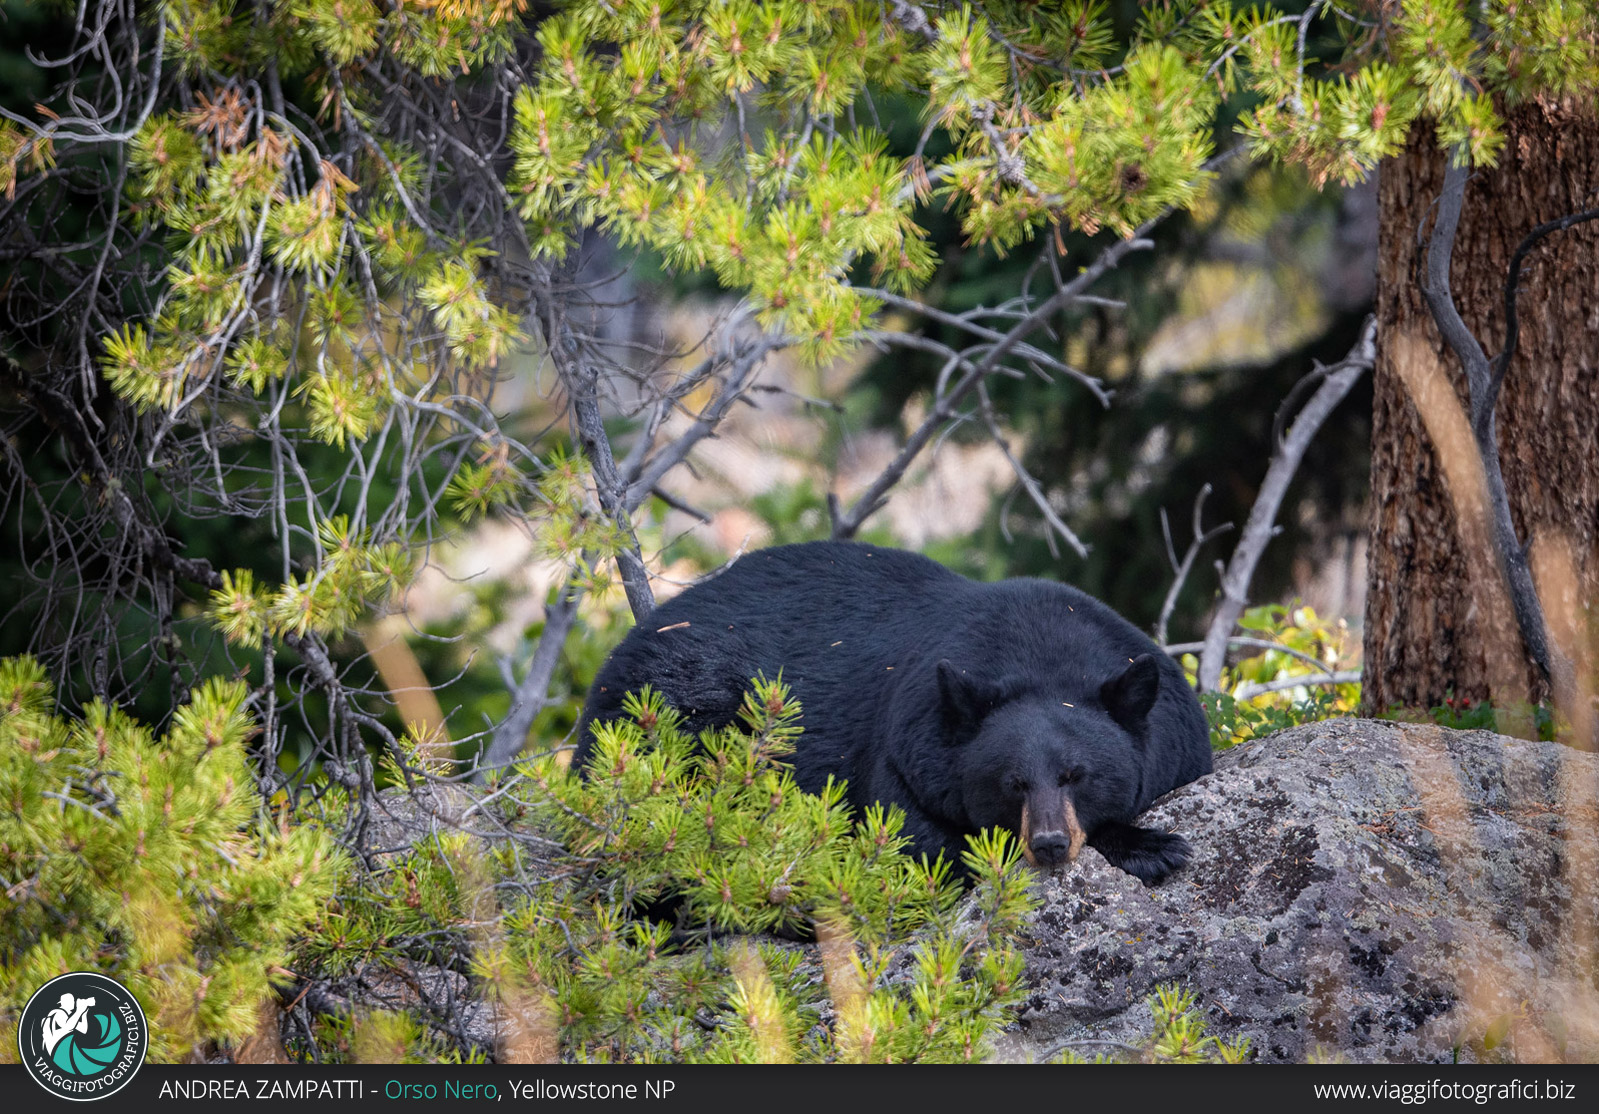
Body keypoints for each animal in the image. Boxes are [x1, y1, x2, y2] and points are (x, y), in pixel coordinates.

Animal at [575, 543, 1208, 882]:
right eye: (1013, 782)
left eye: (1077, 775)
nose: (1050, 843)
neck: (1043, 652)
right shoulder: (908, 749)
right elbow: (917, 843)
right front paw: (1151, 847)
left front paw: (1150, 842)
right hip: (670, 706)